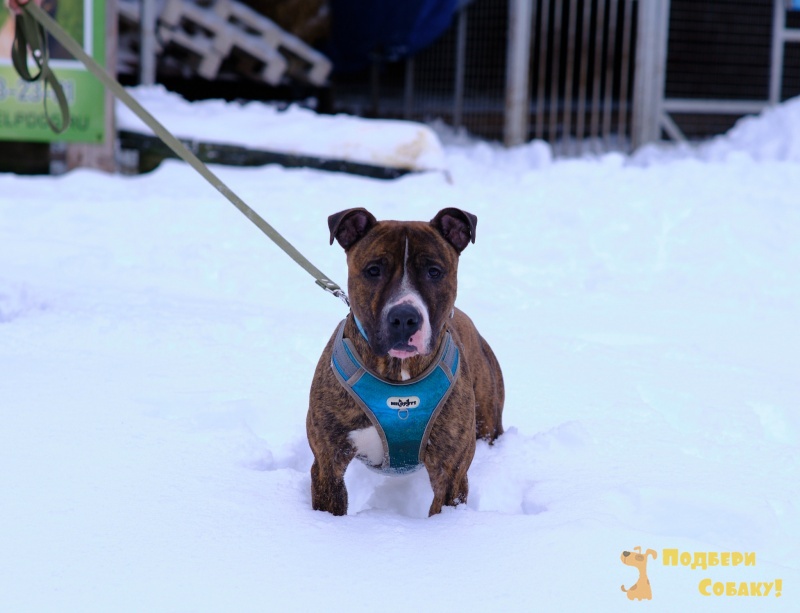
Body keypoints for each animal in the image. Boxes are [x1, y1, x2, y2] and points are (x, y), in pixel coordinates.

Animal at [306, 207, 504, 516]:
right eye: (373, 270)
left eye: (434, 271)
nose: (404, 317)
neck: (398, 372)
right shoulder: (328, 464)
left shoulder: (451, 474)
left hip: (487, 421)